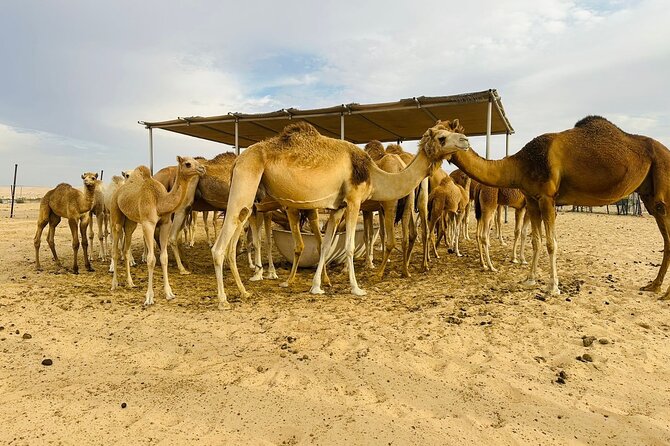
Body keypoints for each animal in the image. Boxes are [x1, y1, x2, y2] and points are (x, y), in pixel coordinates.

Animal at [110, 157, 205, 305]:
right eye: (188, 163)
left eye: (195, 160)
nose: (202, 168)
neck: (160, 201)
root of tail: (118, 191)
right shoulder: (148, 224)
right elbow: (151, 259)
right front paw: (149, 297)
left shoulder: (165, 224)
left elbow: (164, 257)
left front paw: (169, 293)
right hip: (116, 215)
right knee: (115, 249)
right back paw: (114, 284)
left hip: (130, 222)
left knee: (126, 249)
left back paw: (130, 283)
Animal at [211, 121, 469, 309]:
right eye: (441, 138)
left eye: (450, 132)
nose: (466, 141)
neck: (374, 174)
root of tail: (238, 160)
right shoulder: (354, 200)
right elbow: (349, 246)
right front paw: (357, 288)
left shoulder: (338, 208)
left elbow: (326, 245)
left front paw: (317, 286)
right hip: (246, 181)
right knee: (220, 246)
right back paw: (223, 300)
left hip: (249, 199)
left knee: (234, 241)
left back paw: (244, 292)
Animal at [444, 116, 670, 297]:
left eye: (442, 133)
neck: (522, 163)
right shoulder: (532, 200)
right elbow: (535, 239)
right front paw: (530, 278)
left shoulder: (546, 198)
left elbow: (550, 243)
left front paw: (552, 287)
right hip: (650, 196)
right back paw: (655, 286)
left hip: (662, 190)